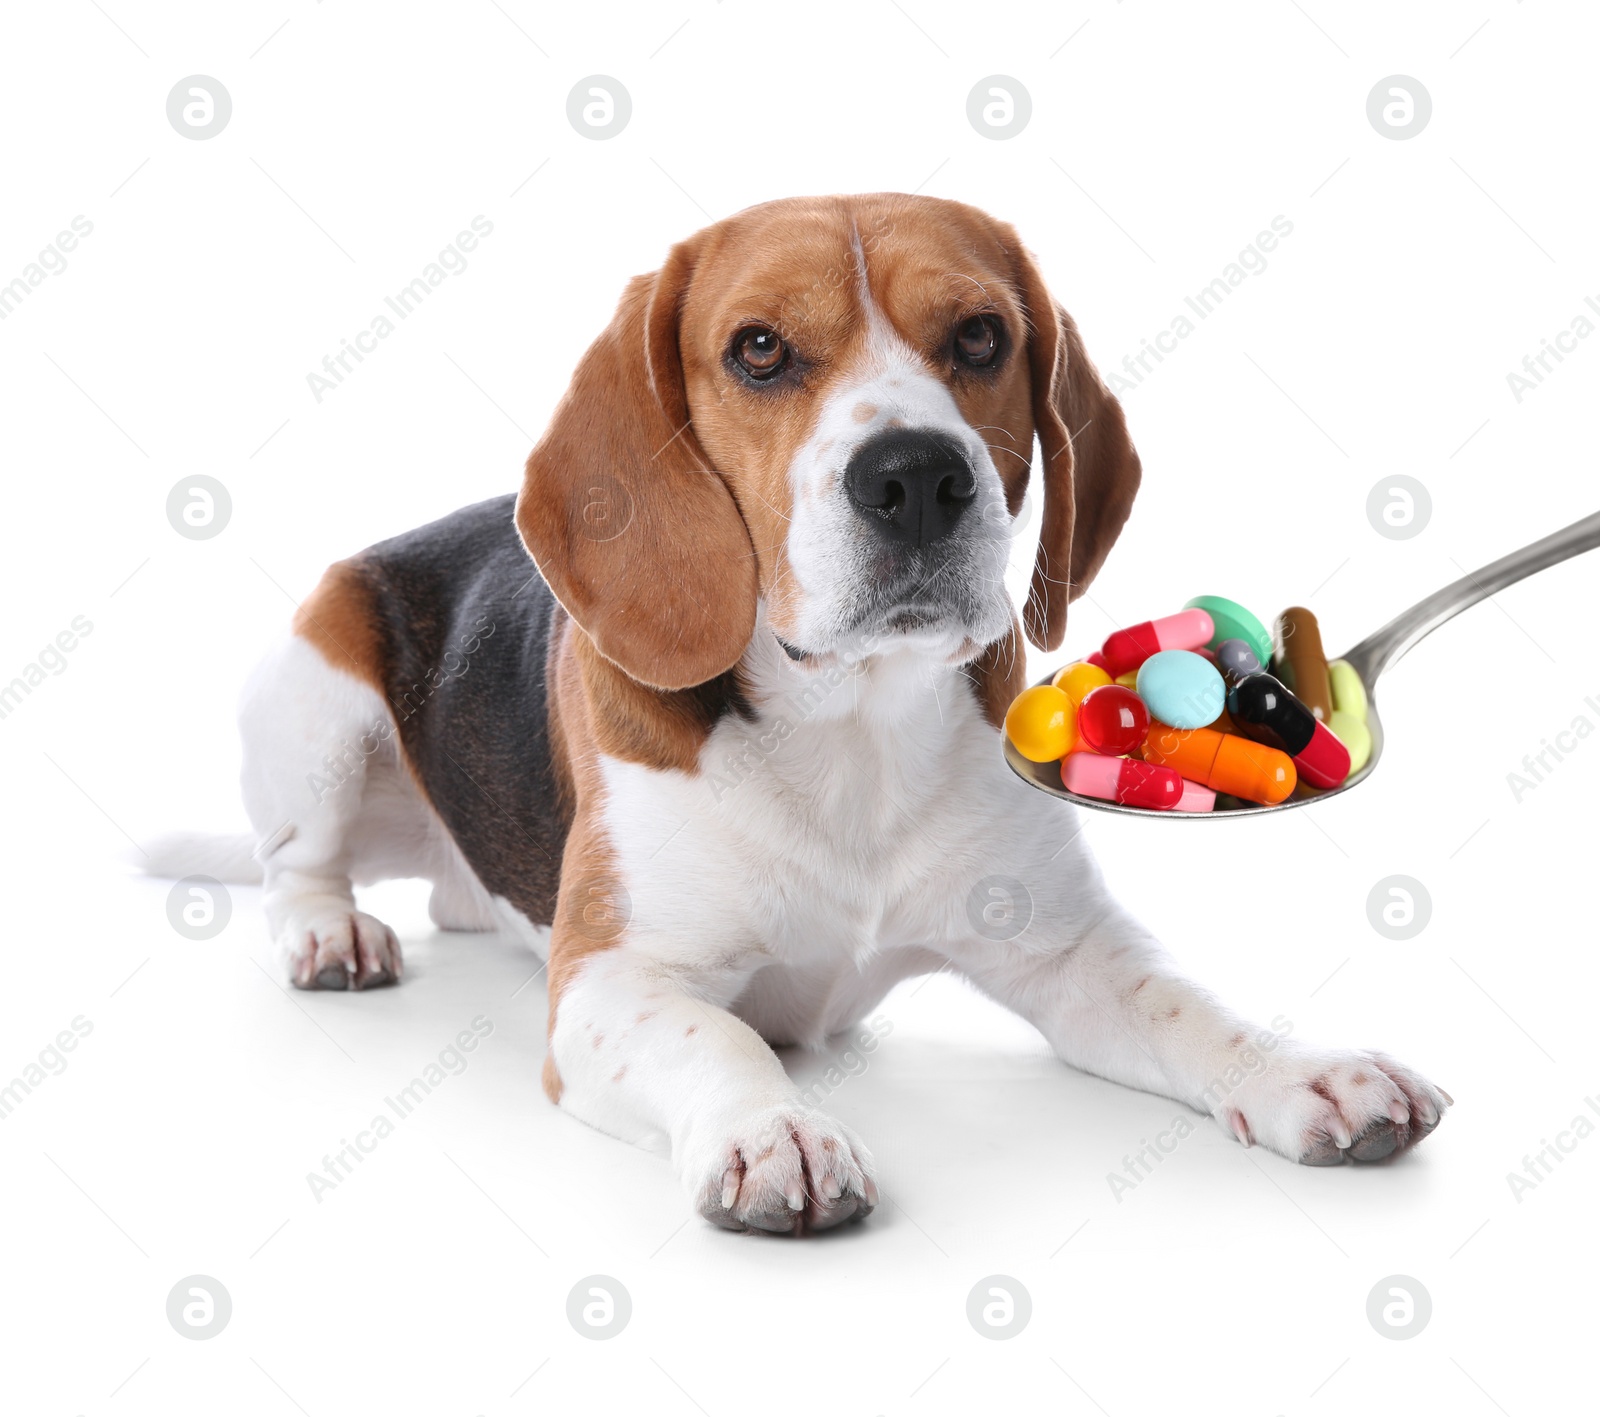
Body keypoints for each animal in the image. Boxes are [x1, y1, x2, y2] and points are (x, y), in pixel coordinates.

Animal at [162, 194, 1452, 1234]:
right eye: (759, 350)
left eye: (979, 336)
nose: (917, 475)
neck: (852, 725)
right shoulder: (613, 985)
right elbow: (721, 1033)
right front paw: (772, 1131)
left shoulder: (1068, 953)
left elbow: (1188, 1005)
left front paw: (1305, 1069)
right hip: (319, 699)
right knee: (295, 867)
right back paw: (331, 934)